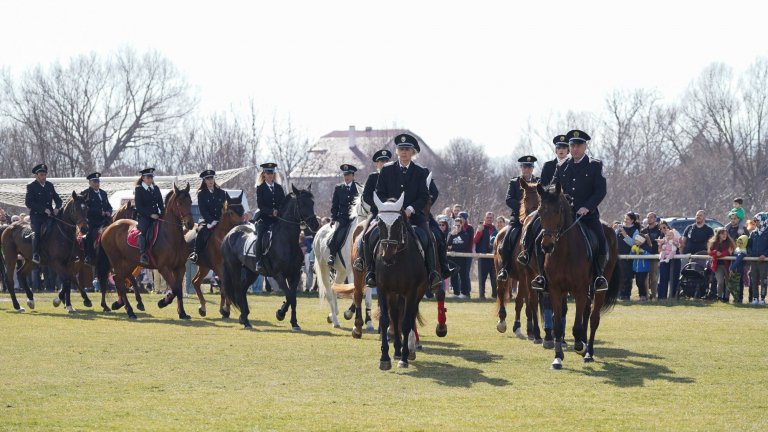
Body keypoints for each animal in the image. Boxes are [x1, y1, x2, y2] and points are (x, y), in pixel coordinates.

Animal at [94, 184, 194, 318]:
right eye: (180, 203)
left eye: (190, 202)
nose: (190, 224)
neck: (172, 237)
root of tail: (108, 228)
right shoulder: (164, 268)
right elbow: (175, 289)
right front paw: (163, 302)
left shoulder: (180, 268)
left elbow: (178, 290)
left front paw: (182, 313)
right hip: (116, 261)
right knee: (119, 281)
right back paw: (129, 310)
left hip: (129, 262)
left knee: (120, 279)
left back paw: (122, 304)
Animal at [220, 184, 320, 330]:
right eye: (302, 203)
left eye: (312, 203)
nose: (315, 225)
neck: (287, 241)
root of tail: (230, 233)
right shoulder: (279, 275)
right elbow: (290, 296)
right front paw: (280, 314)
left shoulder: (295, 274)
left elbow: (293, 298)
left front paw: (294, 322)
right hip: (234, 268)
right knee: (238, 289)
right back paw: (246, 321)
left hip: (251, 271)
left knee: (243, 289)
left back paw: (244, 317)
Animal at [310, 186, 374, 330]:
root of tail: (319, 231)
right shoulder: (353, 271)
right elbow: (356, 293)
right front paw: (349, 314)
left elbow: (367, 299)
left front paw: (369, 323)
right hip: (324, 267)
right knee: (329, 292)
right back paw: (335, 320)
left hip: (341, 271)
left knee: (335, 288)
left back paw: (332, 315)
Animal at [370, 194, 426, 370]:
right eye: (379, 222)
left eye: (398, 222)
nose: (387, 256)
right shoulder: (383, 289)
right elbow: (385, 320)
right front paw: (385, 358)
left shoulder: (411, 291)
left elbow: (407, 322)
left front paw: (404, 358)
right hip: (394, 294)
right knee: (395, 317)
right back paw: (396, 350)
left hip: (417, 292)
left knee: (411, 315)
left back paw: (409, 349)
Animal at [536, 182, 620, 368]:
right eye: (540, 211)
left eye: (558, 211)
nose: (547, 246)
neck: (564, 251)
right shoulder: (556, 290)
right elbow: (558, 324)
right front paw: (558, 357)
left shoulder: (580, 290)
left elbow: (576, 325)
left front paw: (580, 347)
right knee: (585, 315)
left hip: (599, 289)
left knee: (593, 319)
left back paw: (588, 352)